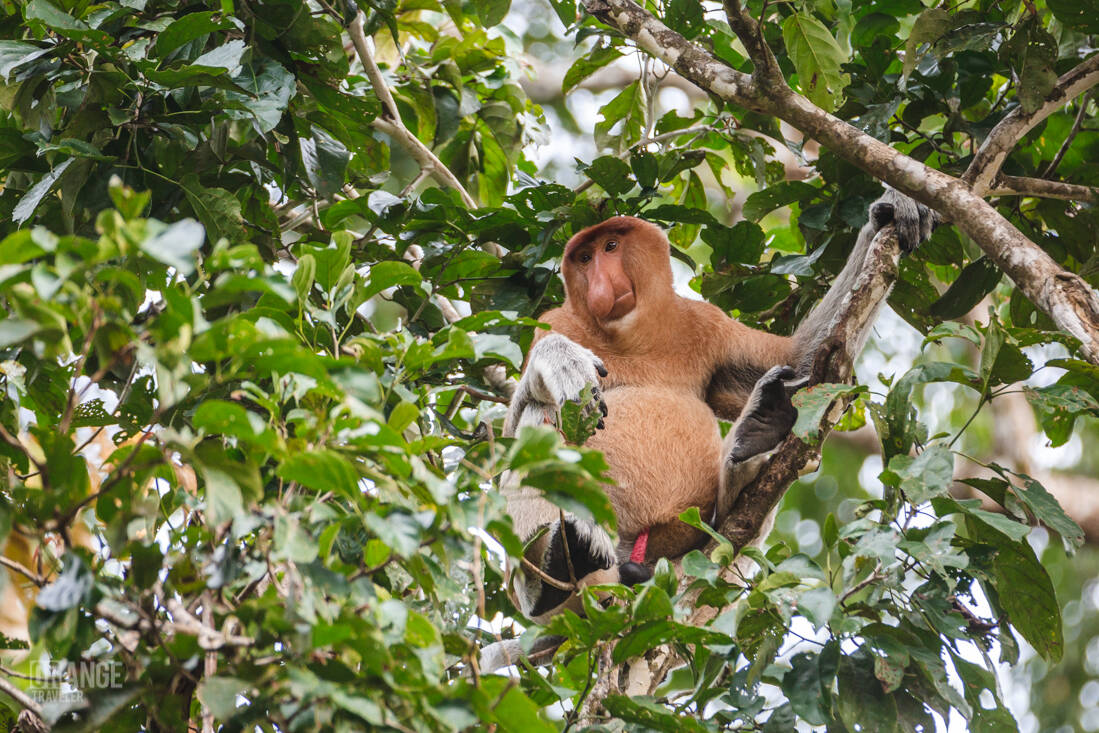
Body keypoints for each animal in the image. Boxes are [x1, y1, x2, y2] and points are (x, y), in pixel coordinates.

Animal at [501, 187, 937, 623]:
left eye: (610, 247)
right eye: (584, 259)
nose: (598, 286)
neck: (629, 336)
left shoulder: (703, 324)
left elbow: (804, 364)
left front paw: (892, 210)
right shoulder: (556, 322)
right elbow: (514, 426)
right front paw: (563, 362)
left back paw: (753, 441)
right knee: (543, 416)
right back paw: (554, 571)